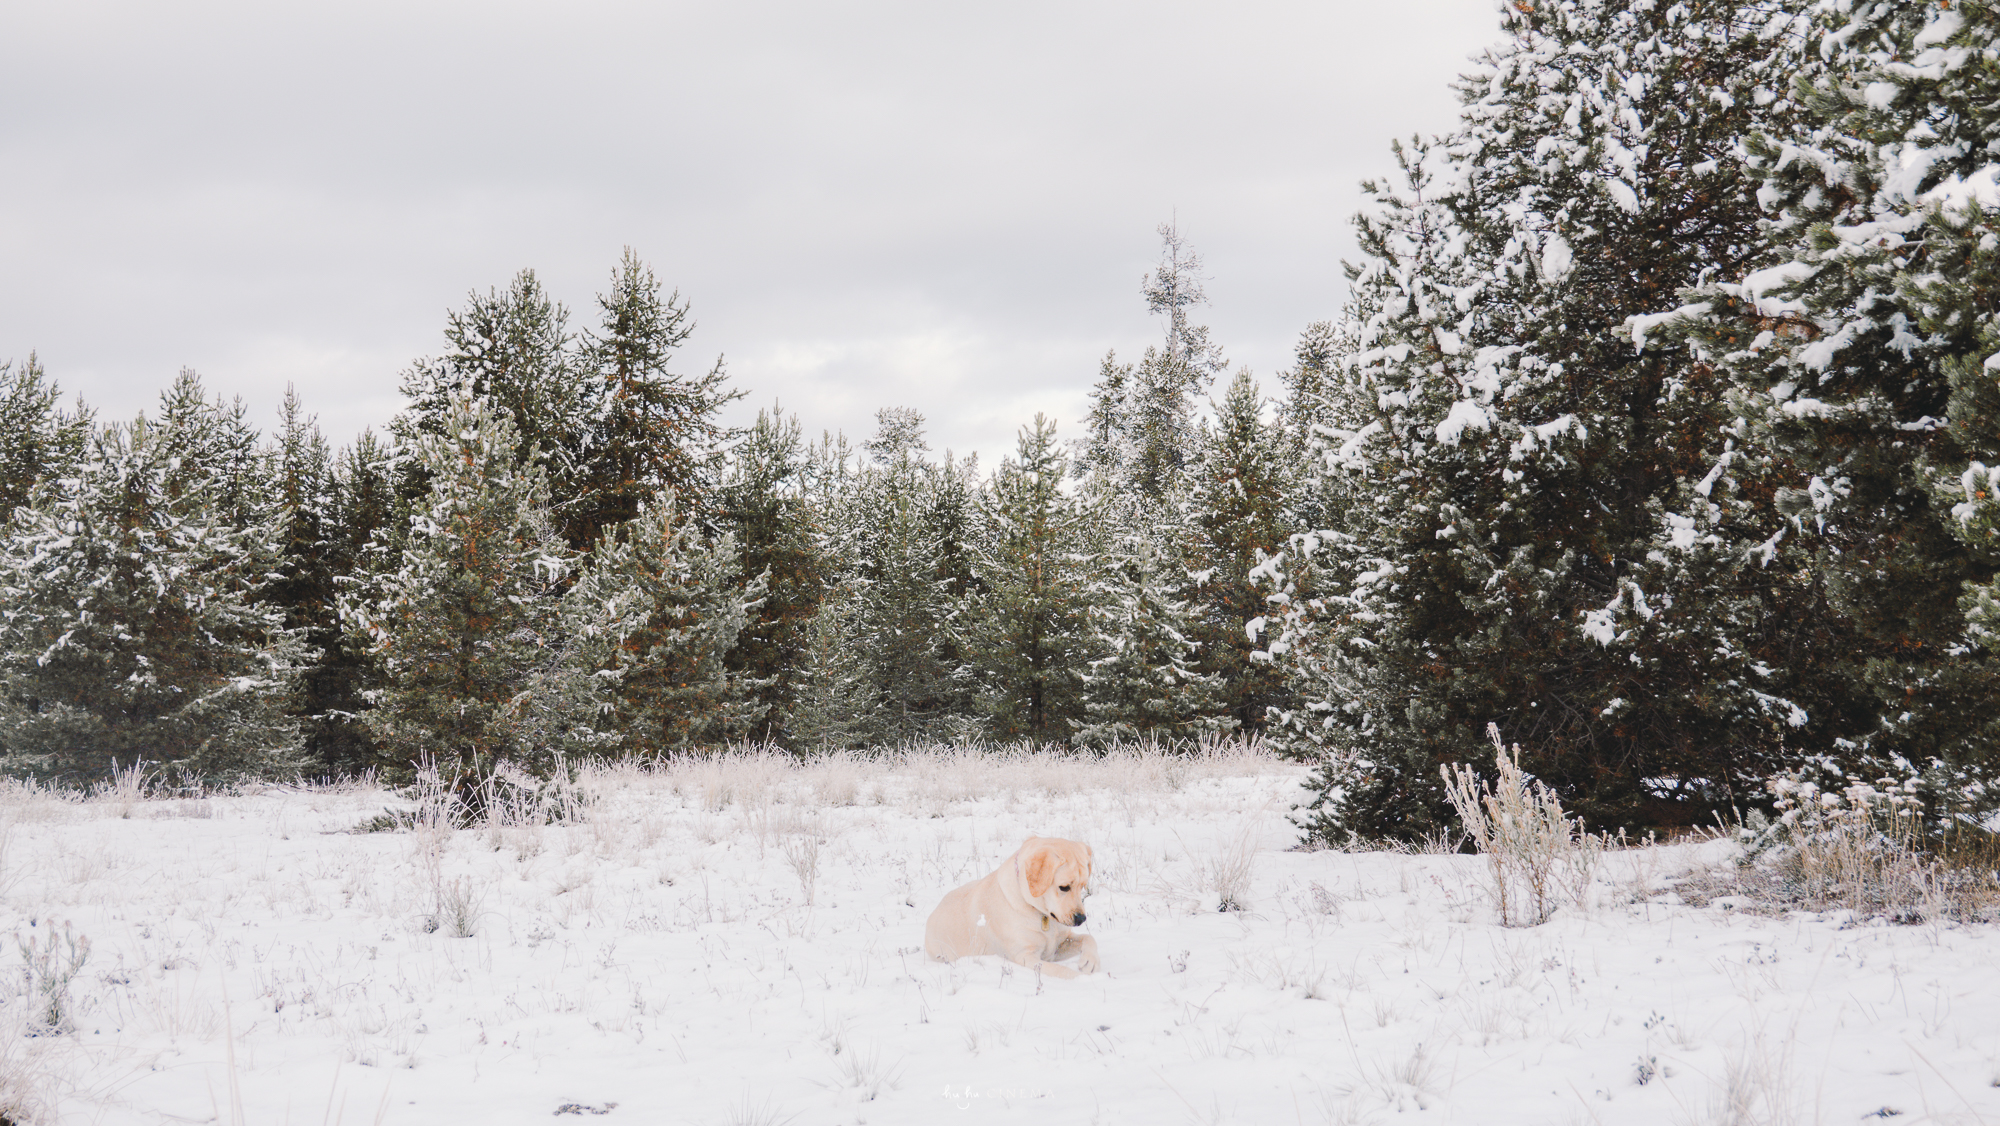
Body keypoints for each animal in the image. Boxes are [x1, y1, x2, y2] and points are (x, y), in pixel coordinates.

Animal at [928, 836, 1104, 980]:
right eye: (1064, 887)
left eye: (1083, 886)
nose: (1081, 919)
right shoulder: (1026, 956)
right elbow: (1062, 971)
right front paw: (1085, 980)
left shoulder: (1058, 945)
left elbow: (1089, 937)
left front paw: (1090, 961)